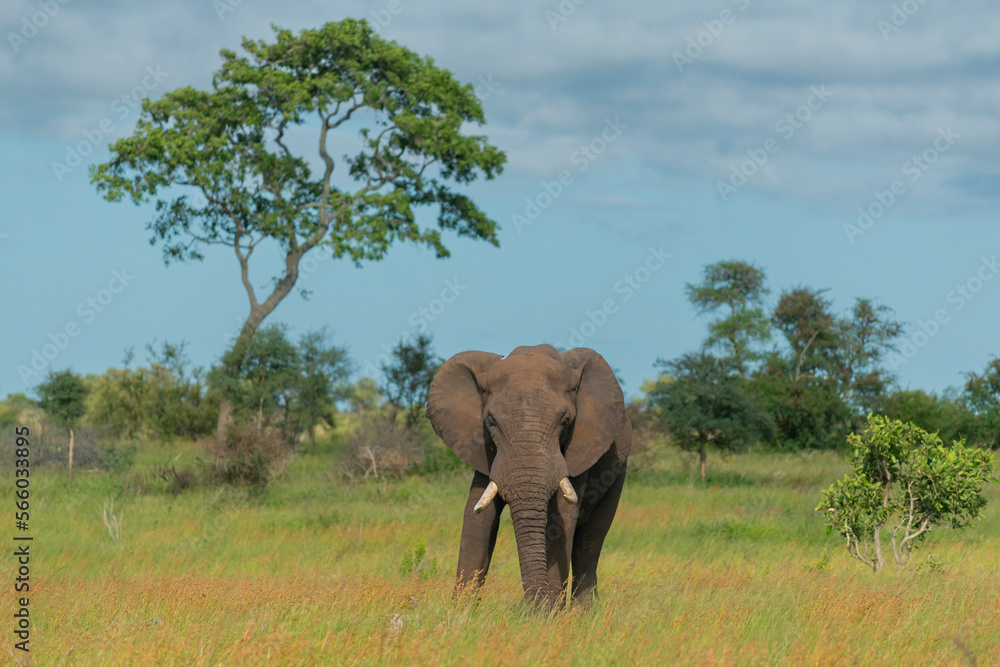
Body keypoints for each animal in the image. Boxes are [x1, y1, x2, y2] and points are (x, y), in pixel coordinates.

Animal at [426, 344, 631, 608]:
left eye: (565, 421)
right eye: (491, 422)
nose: (528, 607)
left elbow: (561, 518)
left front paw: (545, 614)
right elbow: (478, 517)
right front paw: (461, 611)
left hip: (619, 471)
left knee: (591, 540)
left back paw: (582, 613)